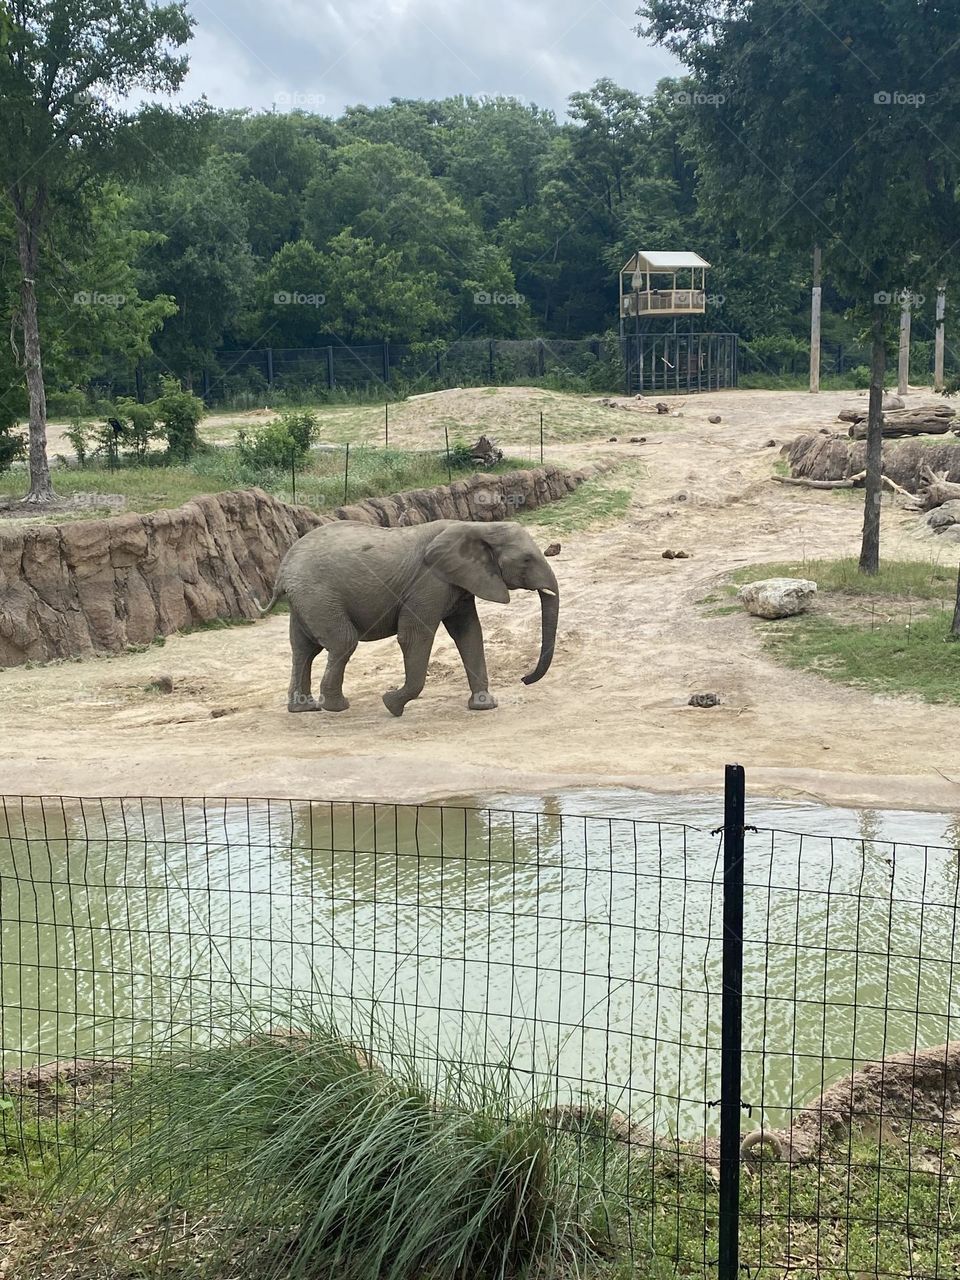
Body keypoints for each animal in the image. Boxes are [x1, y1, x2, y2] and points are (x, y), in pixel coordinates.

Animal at [259, 519, 559, 717]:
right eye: (527, 560)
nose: (524, 679)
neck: (477, 525)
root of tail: (282, 571)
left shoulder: (458, 583)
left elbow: (469, 633)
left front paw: (484, 706)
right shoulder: (429, 583)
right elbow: (414, 637)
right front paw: (391, 704)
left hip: (305, 600)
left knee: (304, 649)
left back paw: (303, 708)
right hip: (318, 596)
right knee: (343, 643)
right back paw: (336, 707)